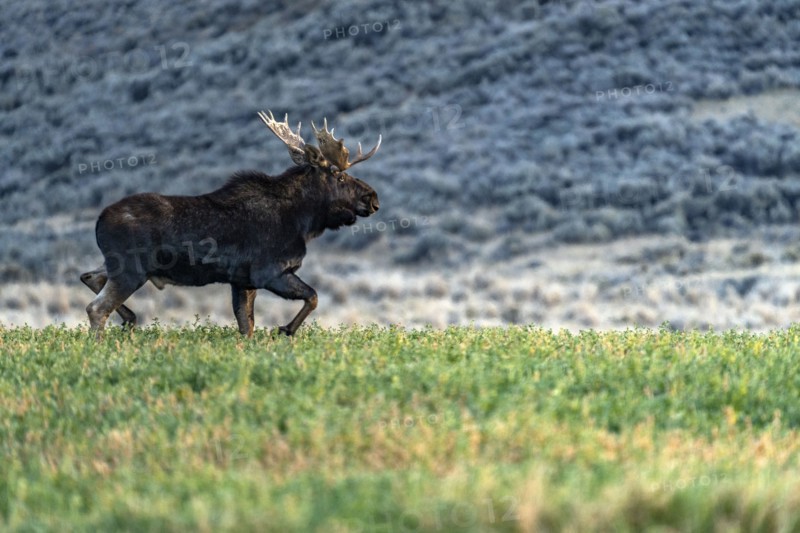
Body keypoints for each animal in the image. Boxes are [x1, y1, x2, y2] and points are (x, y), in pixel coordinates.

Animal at [80, 110, 381, 338]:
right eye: (338, 175)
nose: (373, 198)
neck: (302, 220)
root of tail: (99, 221)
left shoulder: (241, 280)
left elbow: (246, 326)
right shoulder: (269, 272)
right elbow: (313, 296)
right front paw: (285, 329)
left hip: (119, 266)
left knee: (90, 276)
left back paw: (129, 319)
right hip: (131, 269)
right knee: (96, 308)